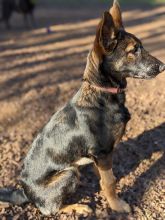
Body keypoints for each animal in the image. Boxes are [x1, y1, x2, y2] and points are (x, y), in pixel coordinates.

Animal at [0, 0, 165, 217]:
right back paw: (78, 207)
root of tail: (24, 192)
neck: (102, 94)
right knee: (51, 210)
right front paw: (117, 206)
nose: (163, 66)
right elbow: (110, 182)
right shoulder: (102, 152)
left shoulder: (100, 157)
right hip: (69, 173)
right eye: (133, 50)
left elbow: (104, 179)